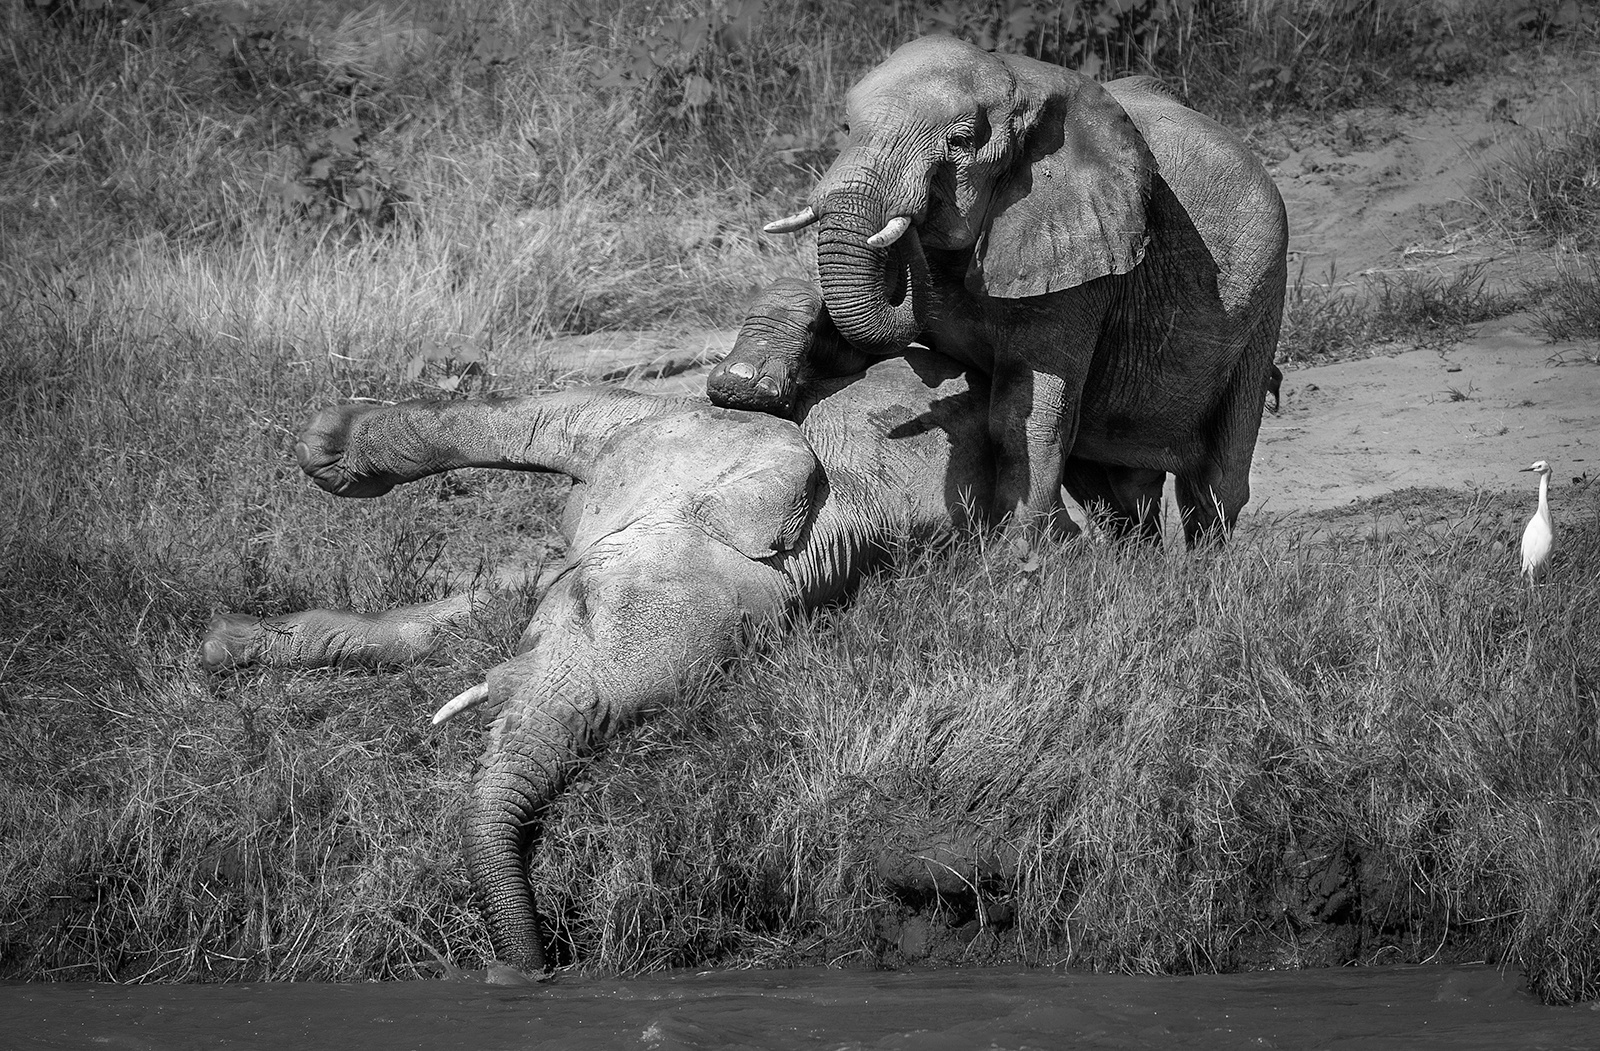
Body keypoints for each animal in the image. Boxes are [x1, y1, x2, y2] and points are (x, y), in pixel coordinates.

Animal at [200, 314, 995, 976]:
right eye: (584, 606)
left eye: (628, 723)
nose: (526, 972)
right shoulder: (687, 431)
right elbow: (559, 418)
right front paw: (327, 448)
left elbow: (489, 602)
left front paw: (224, 646)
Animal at [708, 35, 1289, 544]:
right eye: (846, 127)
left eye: (961, 143)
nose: (917, 213)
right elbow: (856, 341)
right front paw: (742, 387)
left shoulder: (1080, 251)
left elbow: (1020, 412)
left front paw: (1023, 558)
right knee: (1115, 483)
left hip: (1264, 299)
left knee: (1215, 484)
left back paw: (1198, 570)